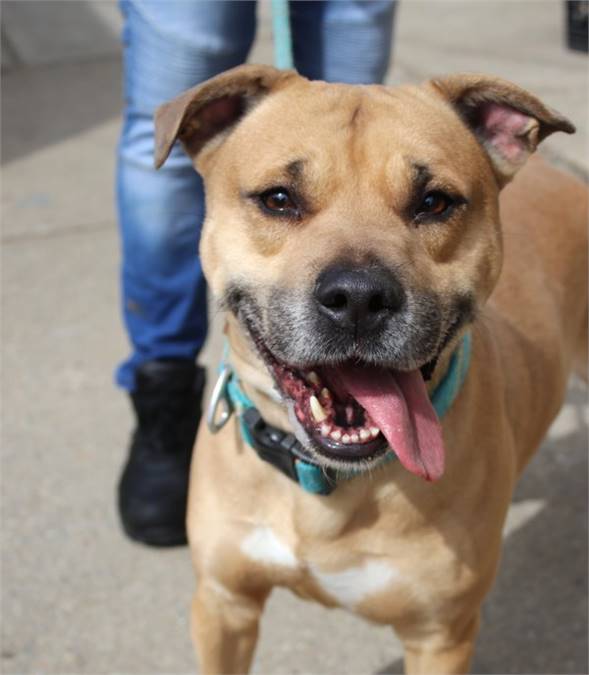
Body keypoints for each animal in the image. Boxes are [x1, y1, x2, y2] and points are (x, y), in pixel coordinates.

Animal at [154, 64, 584, 675]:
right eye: (279, 198)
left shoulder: (441, 637)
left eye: (434, 202)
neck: (324, 485)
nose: (358, 297)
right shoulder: (223, 604)